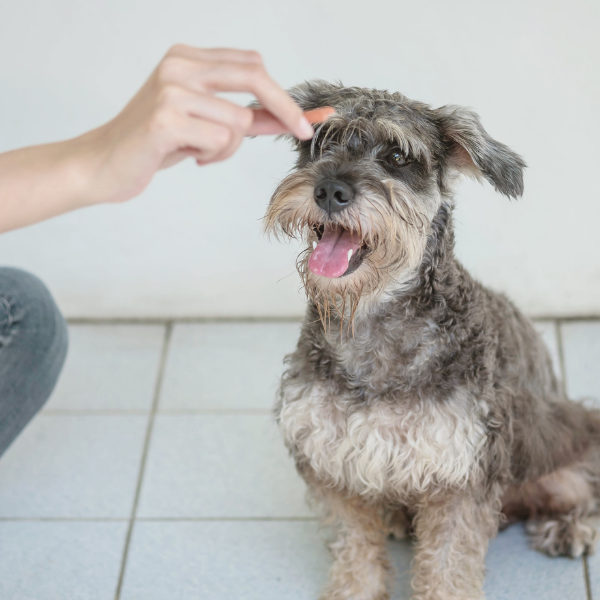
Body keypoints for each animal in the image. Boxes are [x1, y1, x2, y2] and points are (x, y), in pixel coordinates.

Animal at [264, 81, 600, 600]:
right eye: (319, 142)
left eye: (398, 156)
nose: (330, 190)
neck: (373, 323)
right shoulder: (331, 458)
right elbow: (354, 547)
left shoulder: (460, 474)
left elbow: (446, 565)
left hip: (566, 439)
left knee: (580, 486)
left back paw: (571, 527)